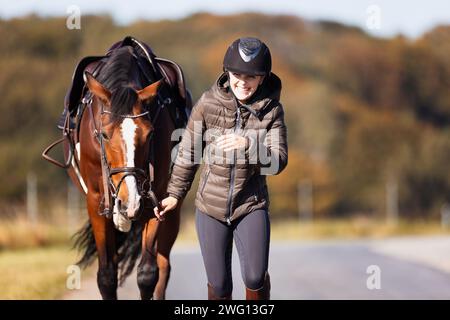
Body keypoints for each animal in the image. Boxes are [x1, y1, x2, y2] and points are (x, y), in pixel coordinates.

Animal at [64, 43, 181, 298]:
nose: (130, 201)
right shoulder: (96, 201)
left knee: (163, 266)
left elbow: (148, 274)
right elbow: (107, 275)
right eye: (104, 134)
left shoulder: (156, 198)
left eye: (150, 133)